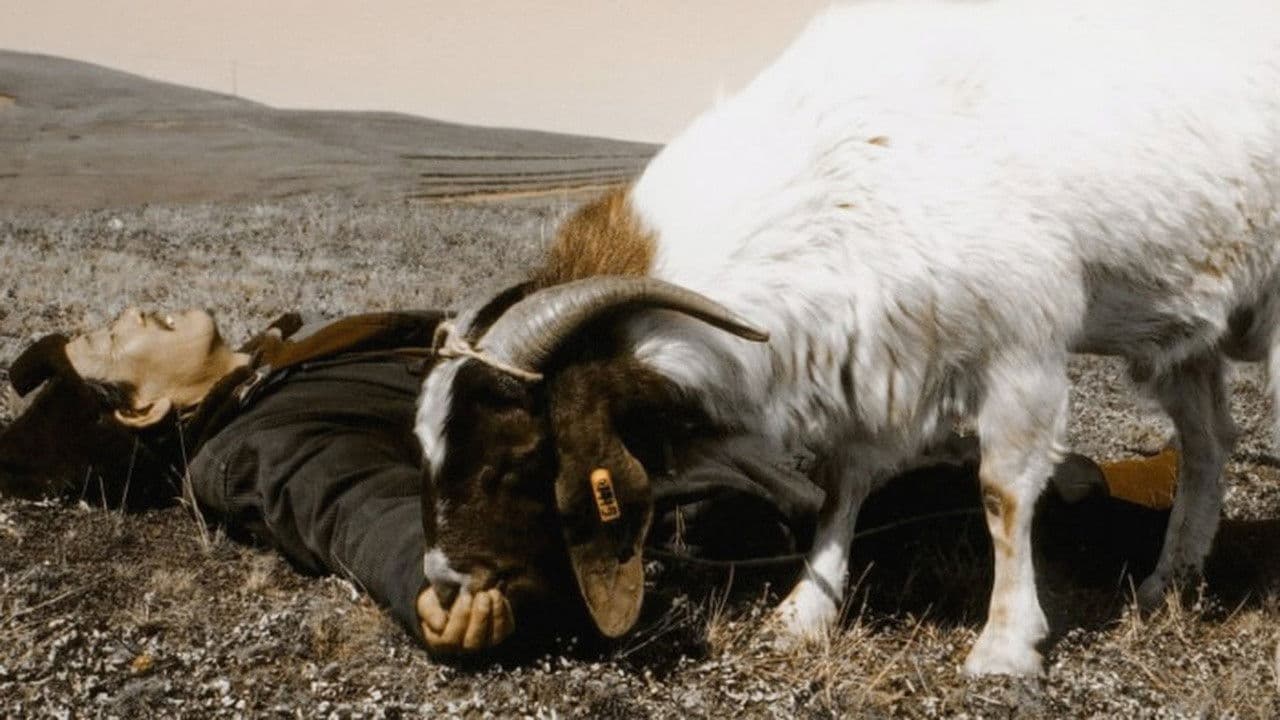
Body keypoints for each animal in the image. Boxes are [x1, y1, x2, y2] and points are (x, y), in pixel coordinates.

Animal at [414, 0, 1280, 675]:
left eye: (514, 459)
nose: (444, 584)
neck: (850, 159)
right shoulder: (875, 349)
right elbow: (844, 482)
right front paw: (806, 610)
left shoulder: (1022, 342)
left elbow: (1003, 493)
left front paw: (1004, 646)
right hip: (1187, 333)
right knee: (1207, 444)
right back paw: (1168, 583)